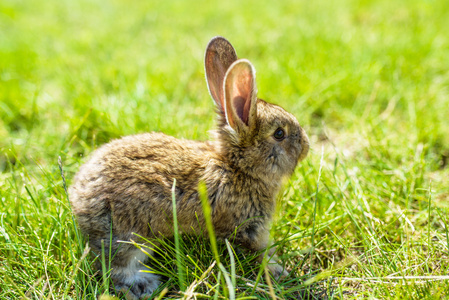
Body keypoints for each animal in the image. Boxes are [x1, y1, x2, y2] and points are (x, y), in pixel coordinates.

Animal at [69, 36, 308, 298]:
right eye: (279, 134)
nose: (306, 146)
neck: (237, 168)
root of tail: (77, 197)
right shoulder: (249, 228)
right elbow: (260, 252)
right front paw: (278, 270)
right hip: (131, 235)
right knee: (116, 267)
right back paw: (144, 284)